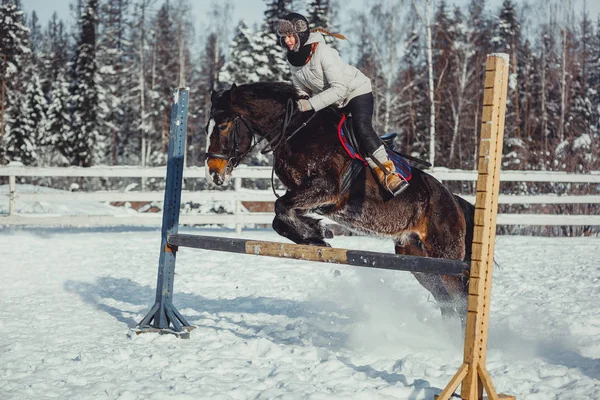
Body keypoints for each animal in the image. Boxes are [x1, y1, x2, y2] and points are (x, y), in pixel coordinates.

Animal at [204, 83, 476, 324]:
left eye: (224, 125)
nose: (213, 174)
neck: (295, 131)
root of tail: (454, 201)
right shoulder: (303, 192)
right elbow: (279, 218)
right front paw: (315, 235)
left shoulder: (327, 187)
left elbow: (280, 207)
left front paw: (318, 232)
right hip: (416, 258)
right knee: (445, 301)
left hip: (445, 255)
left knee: (461, 300)